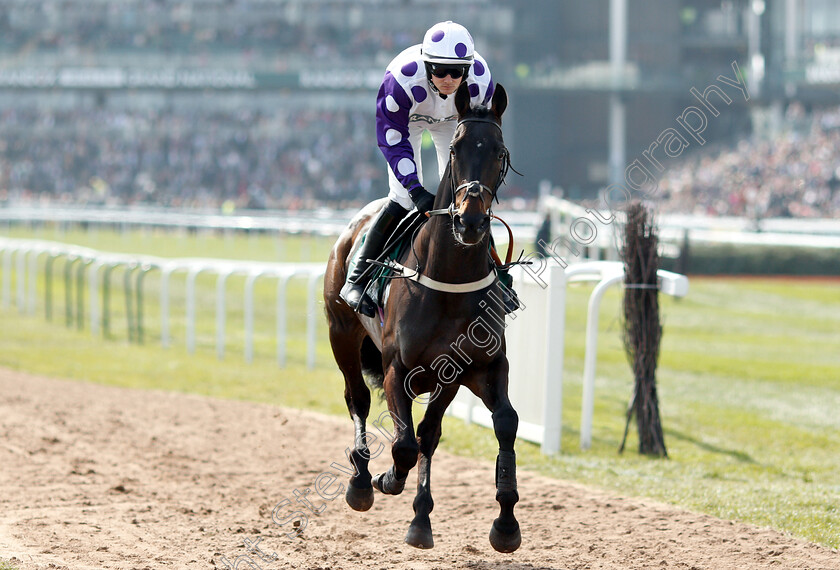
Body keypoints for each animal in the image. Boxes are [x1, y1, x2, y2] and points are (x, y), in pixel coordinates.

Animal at [324, 81, 520, 552]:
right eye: (455, 149)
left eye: (500, 151)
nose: (469, 221)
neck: (448, 279)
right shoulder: (398, 368)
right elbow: (404, 445)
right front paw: (387, 479)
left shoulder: (472, 368)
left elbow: (498, 424)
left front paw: (504, 522)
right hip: (341, 335)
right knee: (358, 399)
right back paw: (361, 479)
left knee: (426, 434)